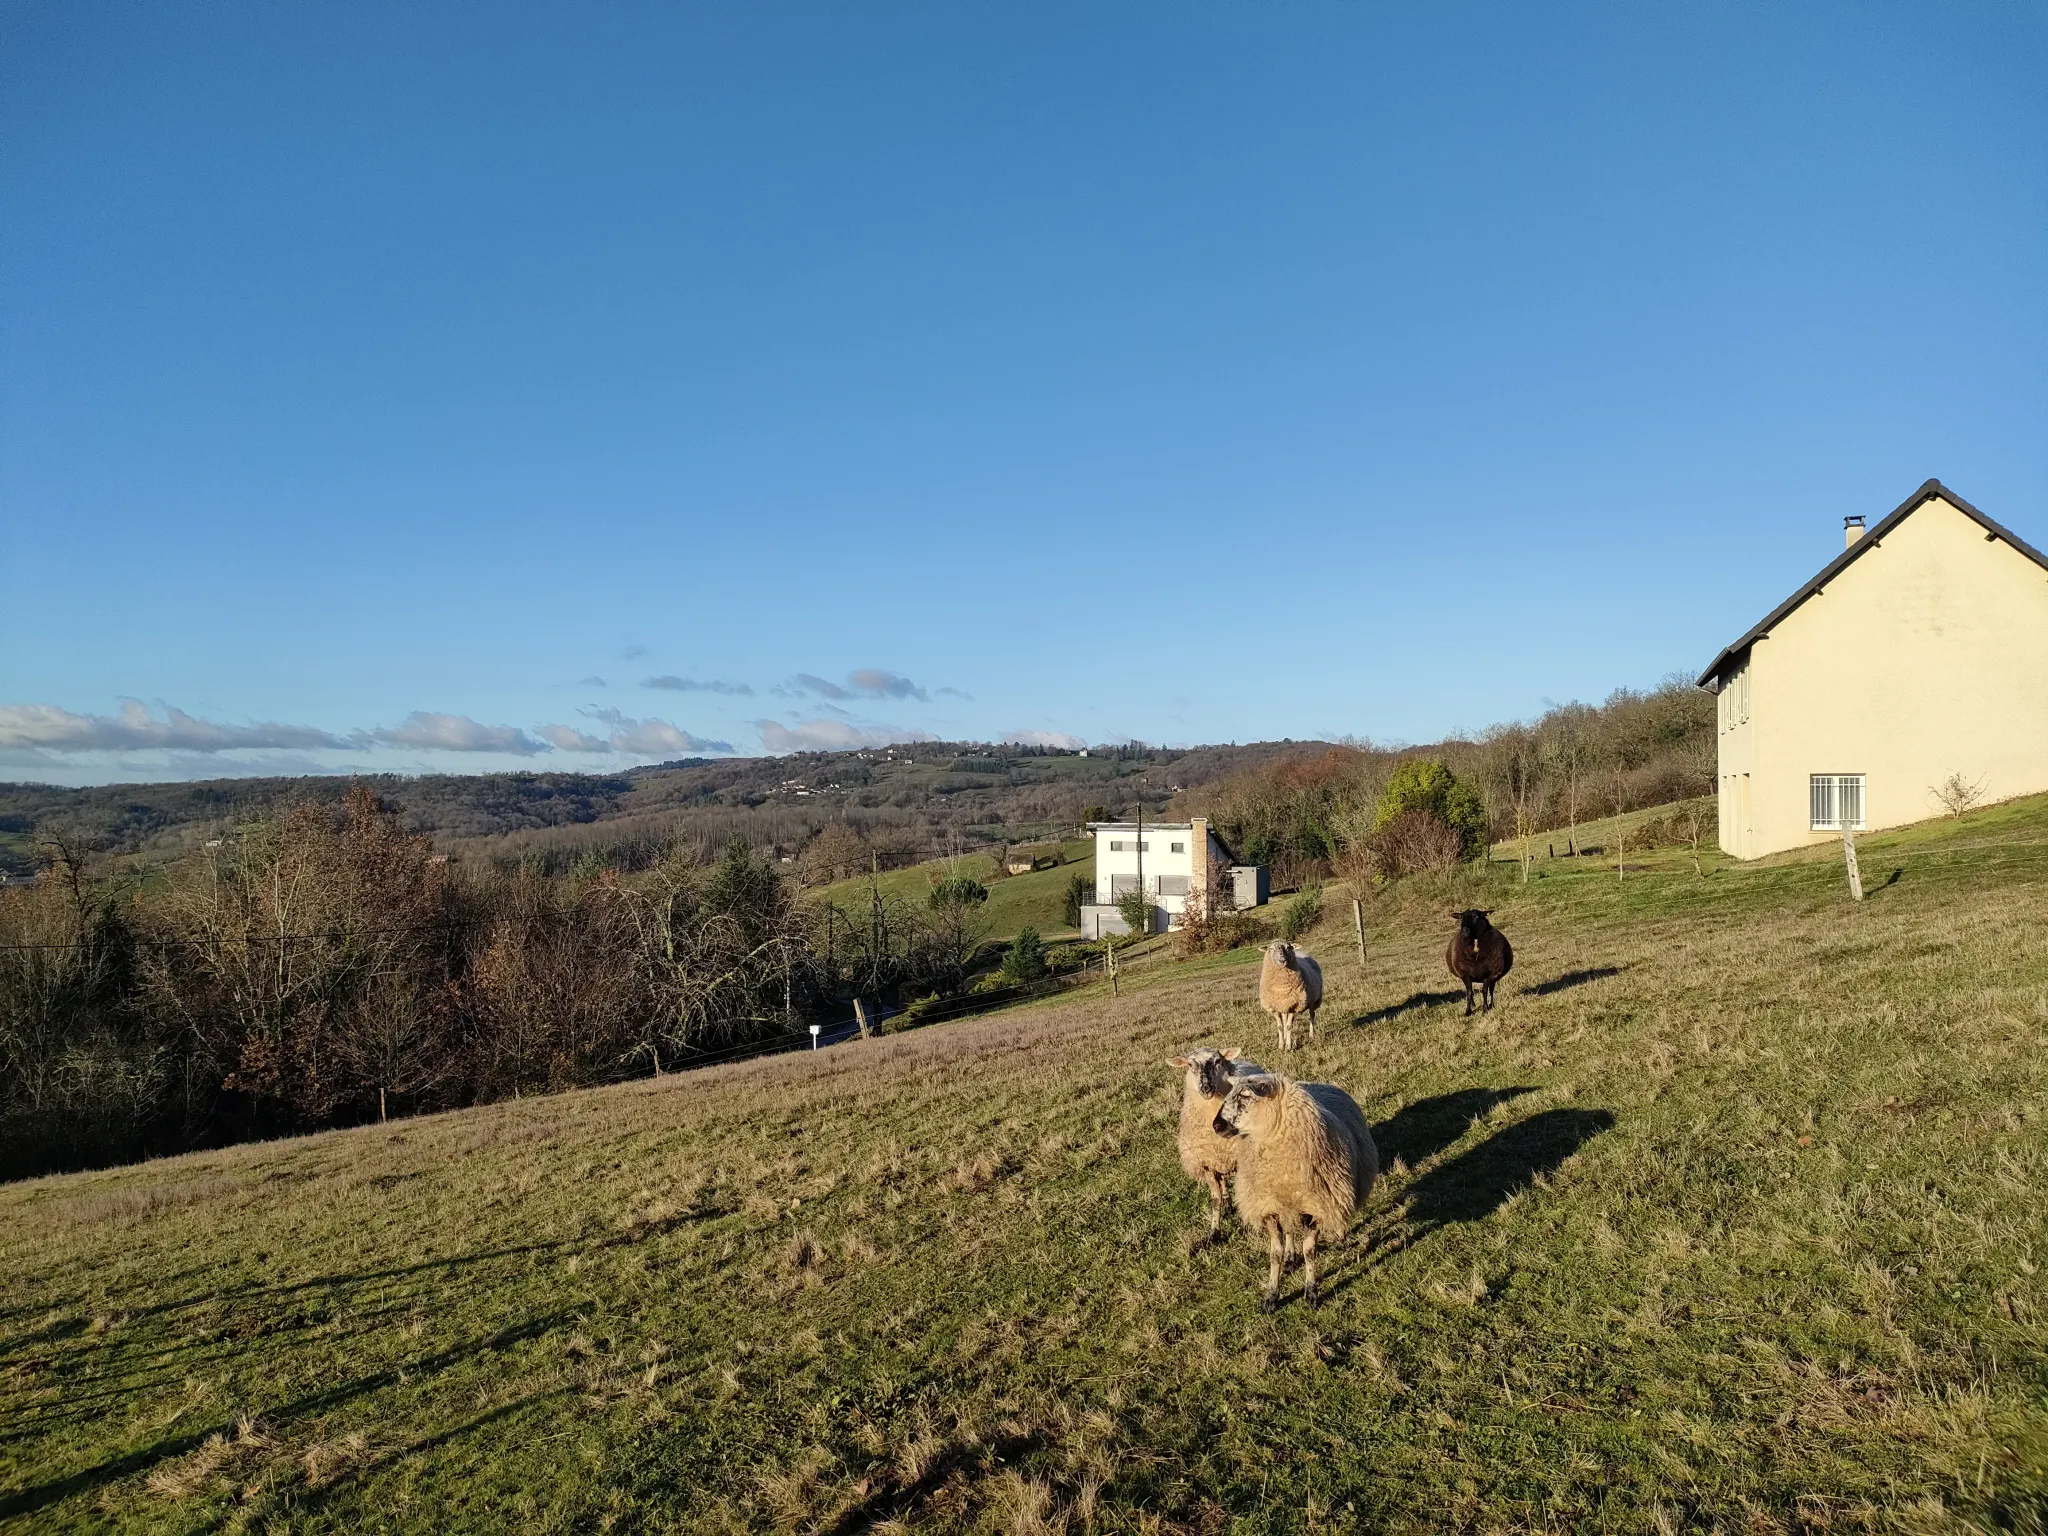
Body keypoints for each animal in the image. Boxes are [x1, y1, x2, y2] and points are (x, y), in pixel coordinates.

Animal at [1171, 1048, 1261, 1253]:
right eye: (1190, 1064)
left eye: (1217, 1061)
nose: (1206, 1088)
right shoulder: (1207, 1164)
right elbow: (1215, 1200)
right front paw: (1214, 1233)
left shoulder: (1238, 1159)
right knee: (1224, 1182)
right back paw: (1227, 1203)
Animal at [1212, 1073, 1376, 1310]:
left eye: (1246, 1095)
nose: (1216, 1125)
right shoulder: (1269, 1206)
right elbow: (1275, 1254)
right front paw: (1271, 1296)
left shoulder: (1315, 1206)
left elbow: (1309, 1252)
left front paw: (1311, 1293)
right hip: (1287, 1205)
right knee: (1289, 1230)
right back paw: (1290, 1257)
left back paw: (1340, 1238)